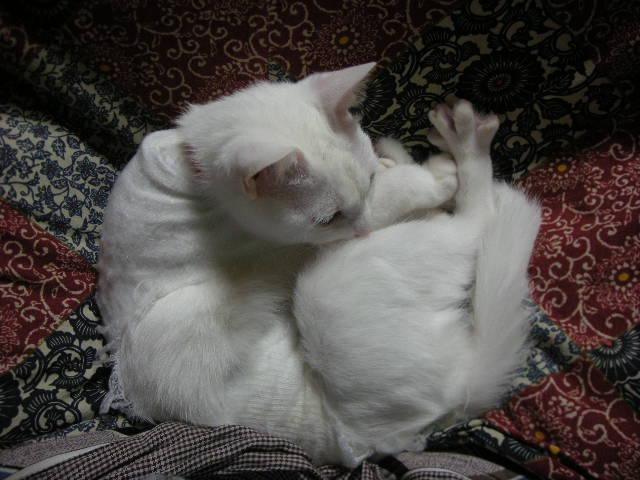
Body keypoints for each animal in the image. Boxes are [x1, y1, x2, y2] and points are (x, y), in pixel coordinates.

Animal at [97, 63, 458, 465]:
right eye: (328, 219)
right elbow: (401, 190)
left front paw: (389, 162)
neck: (190, 168)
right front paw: (436, 176)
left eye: (367, 181)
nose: (362, 232)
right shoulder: (294, 242)